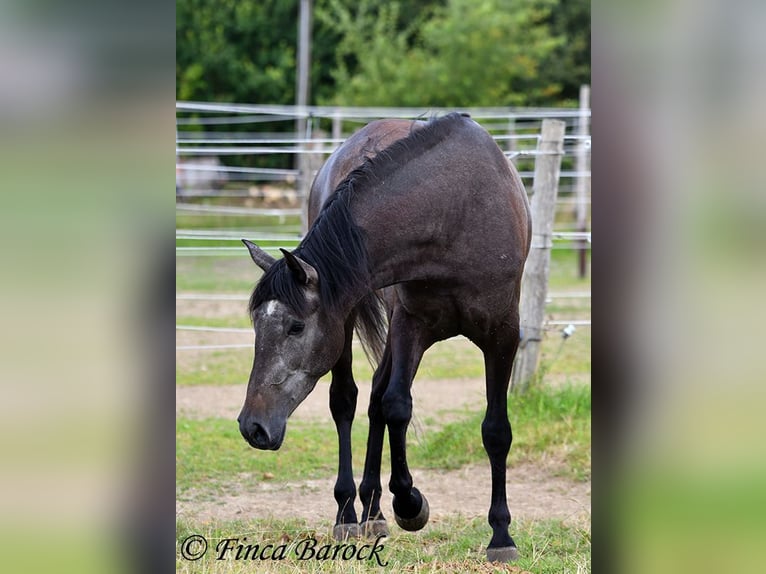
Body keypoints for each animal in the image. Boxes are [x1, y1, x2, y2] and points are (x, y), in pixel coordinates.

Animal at [240, 112, 536, 564]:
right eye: (257, 323)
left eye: (295, 327)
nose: (251, 427)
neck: (454, 211)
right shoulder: (409, 324)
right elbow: (397, 406)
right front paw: (409, 504)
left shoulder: (502, 334)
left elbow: (495, 430)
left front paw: (501, 535)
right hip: (351, 318)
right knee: (347, 399)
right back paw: (350, 512)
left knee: (376, 394)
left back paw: (372, 510)